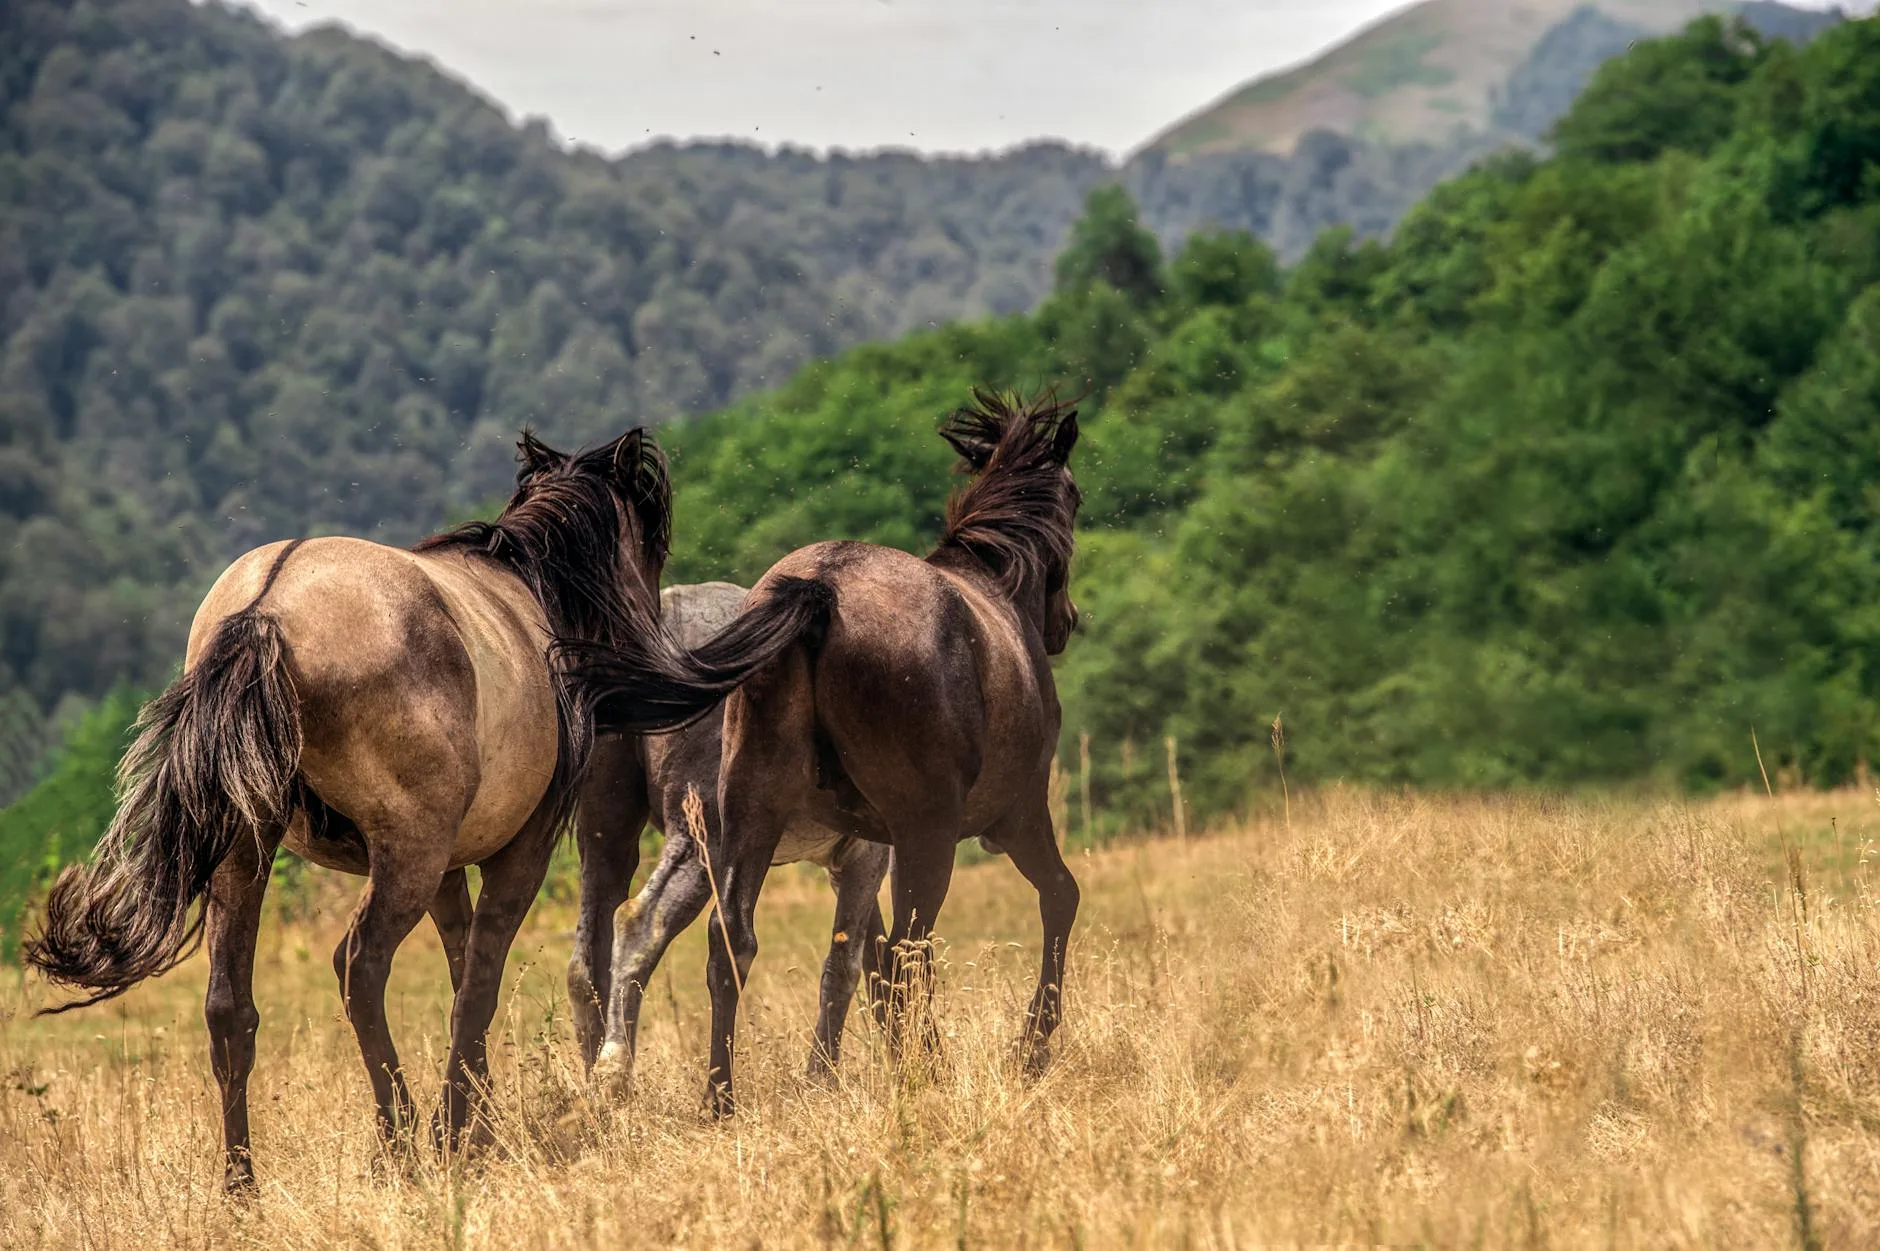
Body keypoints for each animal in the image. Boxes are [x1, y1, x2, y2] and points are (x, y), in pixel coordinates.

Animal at [24, 428, 673, 1190]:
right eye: (653, 542)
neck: (529, 597)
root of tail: (266, 610)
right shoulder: (518, 852)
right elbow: (478, 980)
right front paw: (459, 1131)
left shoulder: (447, 869)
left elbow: (461, 969)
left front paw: (480, 1122)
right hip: (403, 856)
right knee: (360, 967)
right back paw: (400, 1141)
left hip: (247, 850)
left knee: (228, 1008)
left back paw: (242, 1184)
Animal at [565, 580, 894, 1093]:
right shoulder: (866, 853)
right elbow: (848, 965)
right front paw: (822, 1078)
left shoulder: (843, 862)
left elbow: (880, 961)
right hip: (709, 837)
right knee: (641, 922)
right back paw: (615, 1070)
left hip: (605, 828)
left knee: (587, 959)